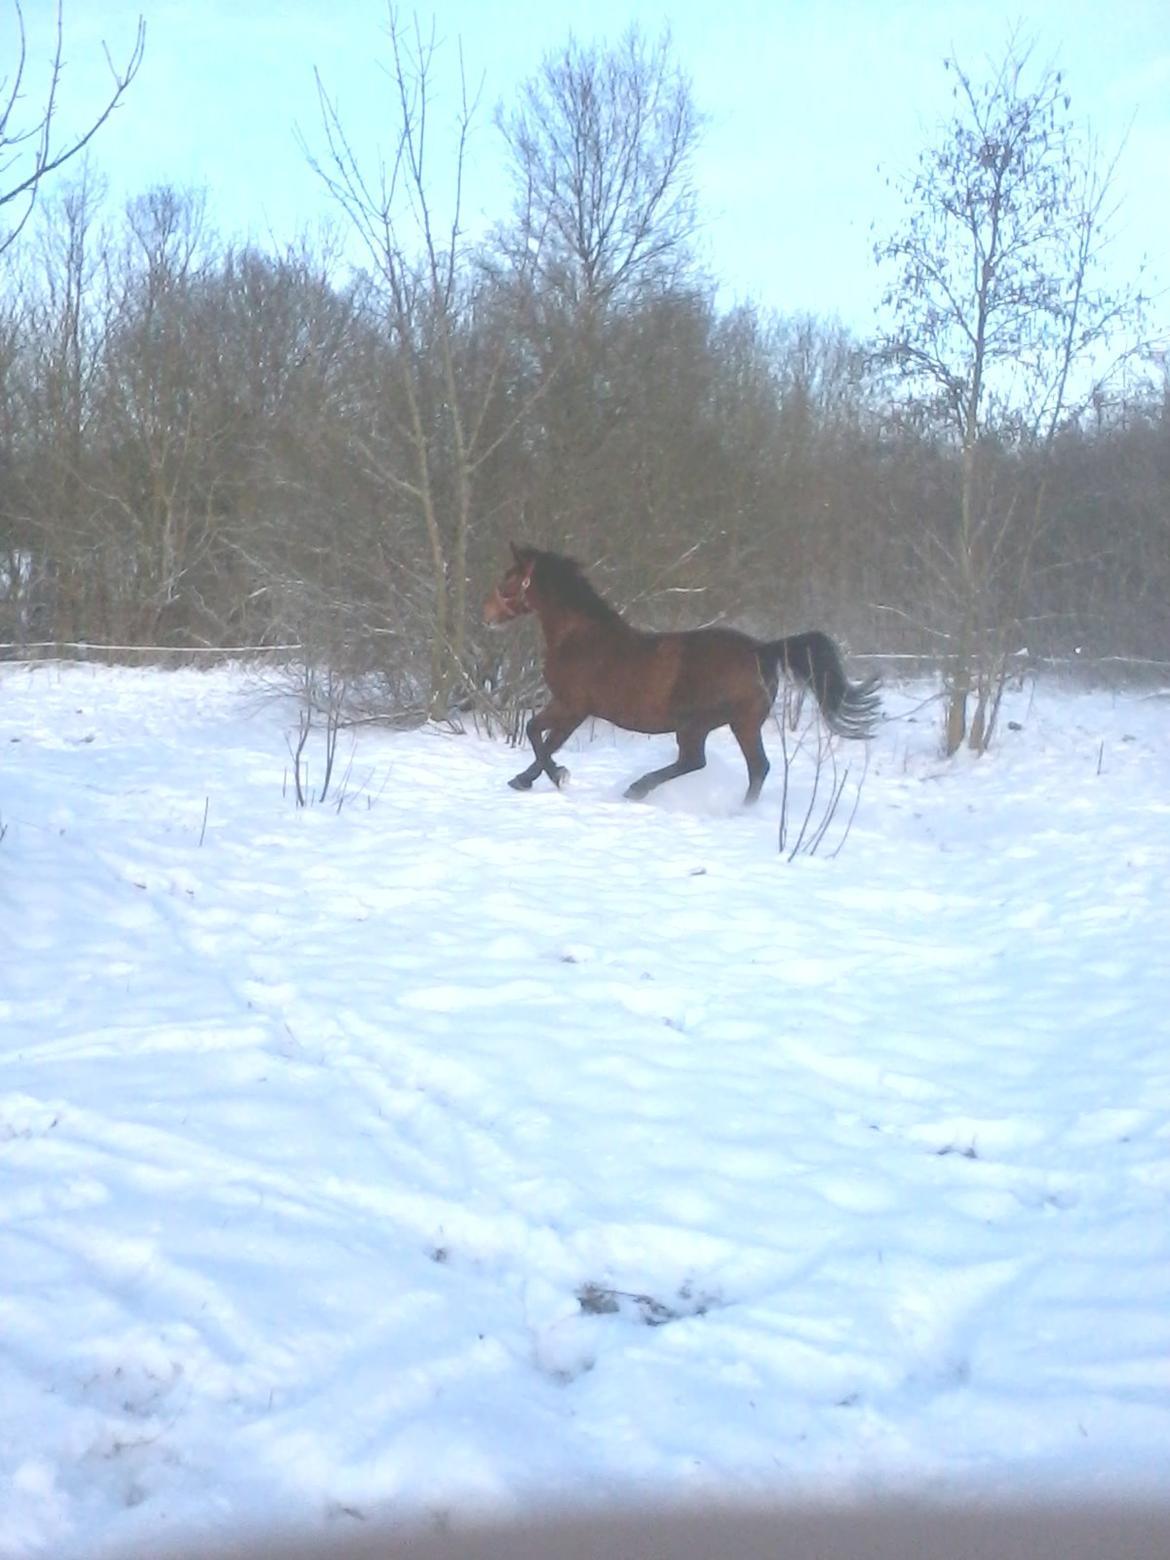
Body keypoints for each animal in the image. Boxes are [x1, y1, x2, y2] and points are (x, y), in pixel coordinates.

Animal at [483, 542, 879, 804]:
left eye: (508, 579)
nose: (486, 616)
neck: (580, 637)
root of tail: (760, 650)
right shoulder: (570, 708)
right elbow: (543, 740)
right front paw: (526, 779)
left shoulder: (572, 706)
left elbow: (538, 736)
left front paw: (555, 776)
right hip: (741, 724)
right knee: (756, 768)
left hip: (697, 724)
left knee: (696, 761)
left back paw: (638, 789)